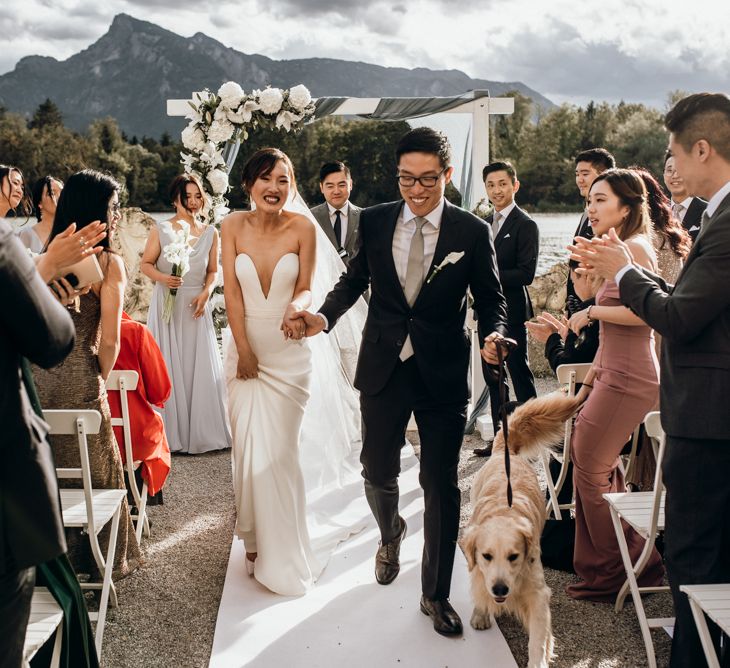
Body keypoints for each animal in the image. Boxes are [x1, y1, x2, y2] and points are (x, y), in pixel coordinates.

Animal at [460, 392, 580, 668]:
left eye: (514, 556)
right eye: (486, 556)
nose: (500, 590)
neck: (506, 511)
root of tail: (503, 452)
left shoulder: (537, 593)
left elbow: (538, 639)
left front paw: (540, 658)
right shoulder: (480, 571)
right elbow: (479, 588)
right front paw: (481, 614)